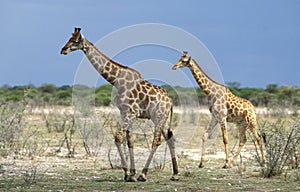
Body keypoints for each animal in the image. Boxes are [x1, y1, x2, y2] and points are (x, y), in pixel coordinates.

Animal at [60, 27, 178, 181]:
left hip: (159, 116)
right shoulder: (124, 112)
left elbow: (118, 137)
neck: (117, 81)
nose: (63, 50)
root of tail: (170, 101)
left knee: (157, 140)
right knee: (169, 138)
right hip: (162, 118)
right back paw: (175, 174)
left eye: (75, 41)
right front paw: (131, 174)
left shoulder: (131, 113)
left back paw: (143, 174)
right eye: (69, 38)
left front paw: (128, 173)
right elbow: (129, 140)